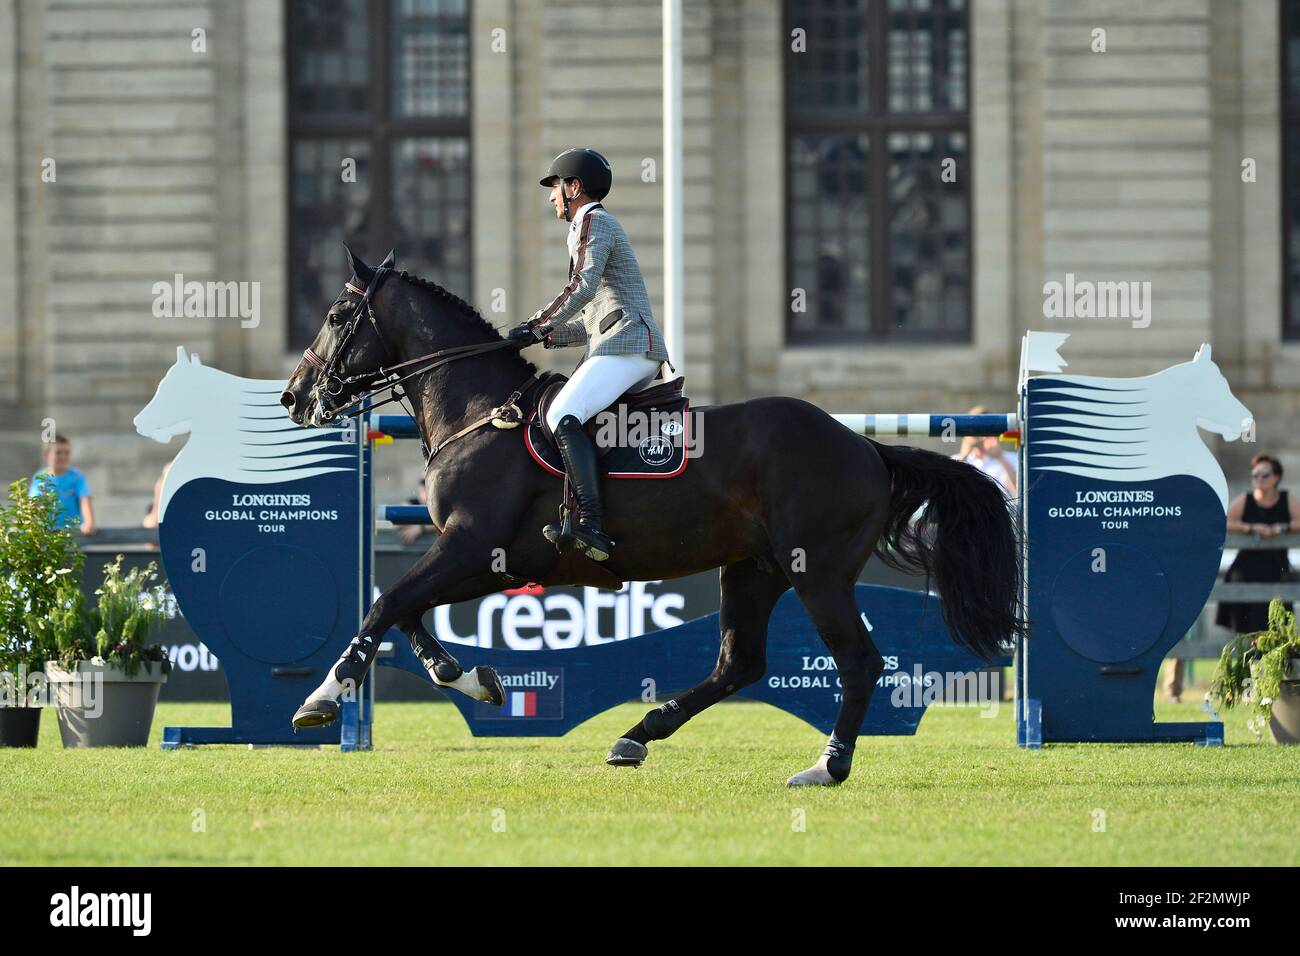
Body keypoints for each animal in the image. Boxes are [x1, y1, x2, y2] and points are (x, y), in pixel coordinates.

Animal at [282, 251, 1024, 790]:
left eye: (338, 314)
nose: (293, 397)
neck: (482, 411)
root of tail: (865, 446)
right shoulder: (488, 561)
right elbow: (403, 609)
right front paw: (469, 678)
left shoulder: (473, 548)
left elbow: (386, 606)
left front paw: (322, 695)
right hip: (753, 570)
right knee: (739, 664)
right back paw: (637, 736)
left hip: (818, 575)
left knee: (859, 662)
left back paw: (827, 765)